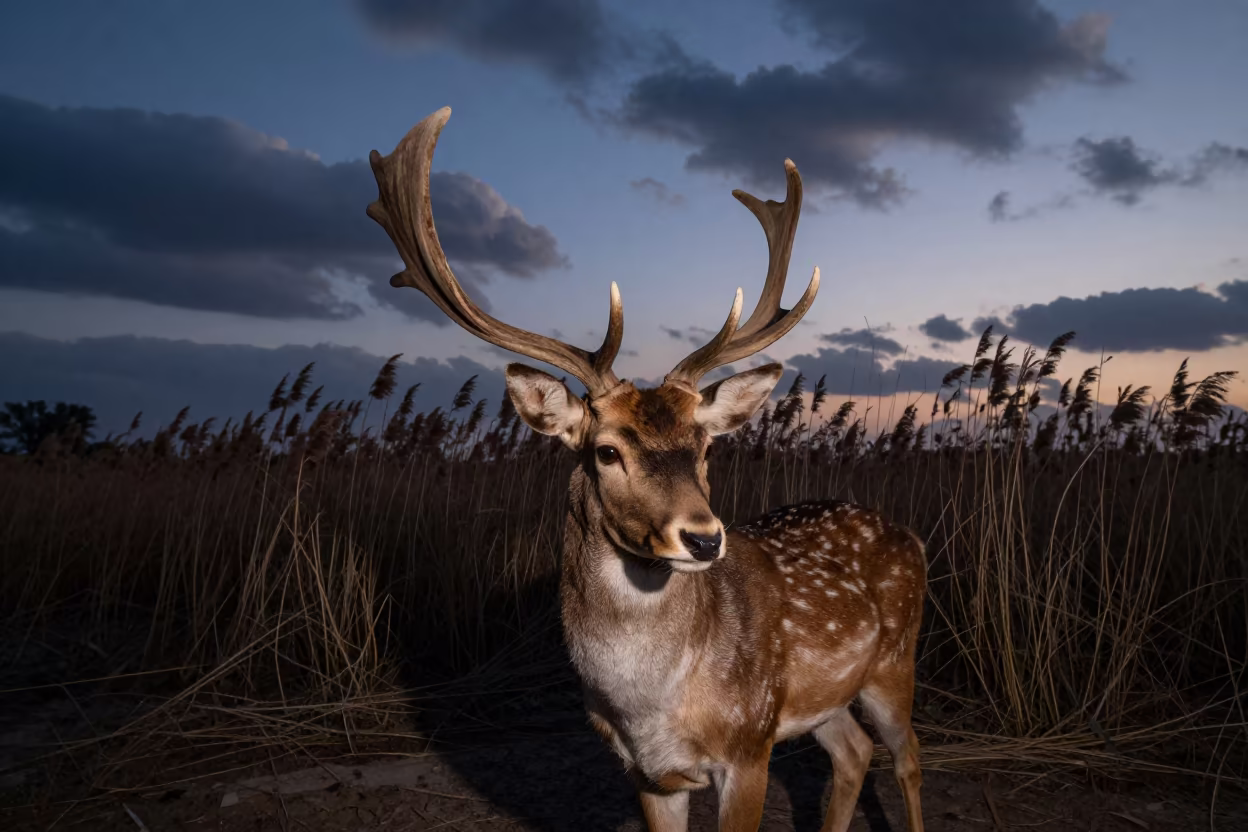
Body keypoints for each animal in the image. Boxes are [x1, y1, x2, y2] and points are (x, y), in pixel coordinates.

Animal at [366, 107, 927, 832]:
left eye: (706, 447)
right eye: (607, 451)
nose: (704, 539)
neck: (651, 710)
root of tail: (906, 534)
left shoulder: (749, 745)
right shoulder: (648, 772)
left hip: (894, 661)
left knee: (907, 755)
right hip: (822, 701)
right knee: (853, 752)